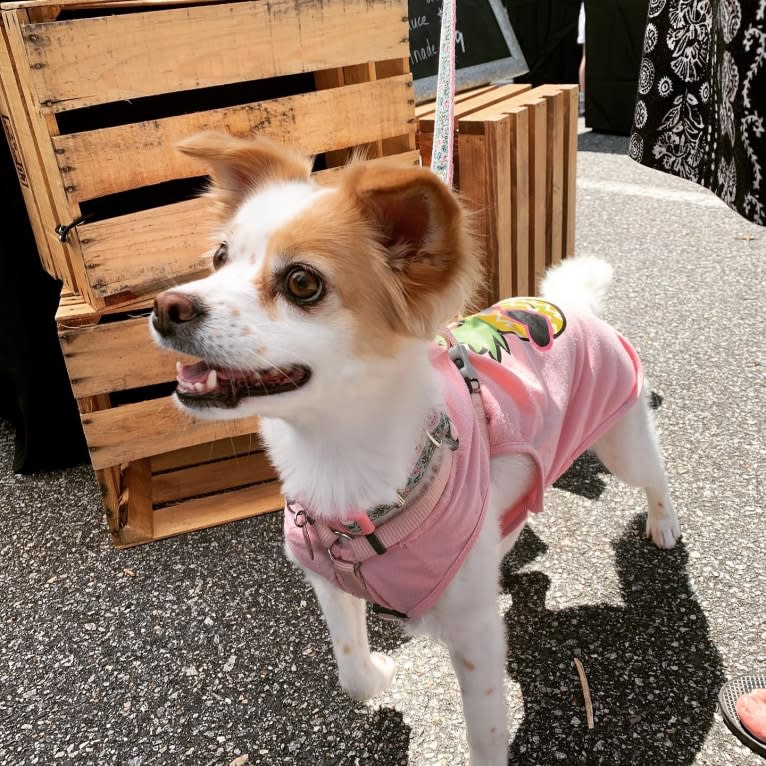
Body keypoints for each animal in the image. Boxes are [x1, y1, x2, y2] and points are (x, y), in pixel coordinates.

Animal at [152, 134, 684, 766]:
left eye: (303, 283)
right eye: (219, 258)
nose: (166, 306)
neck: (341, 466)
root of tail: (571, 308)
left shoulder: (476, 634)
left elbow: (484, 732)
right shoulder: (329, 583)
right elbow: (351, 671)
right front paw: (380, 675)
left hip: (619, 439)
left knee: (654, 473)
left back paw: (664, 524)